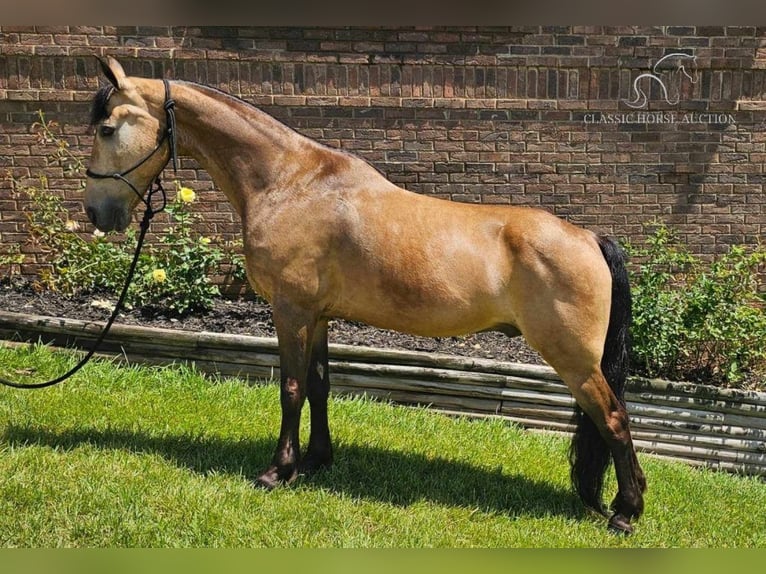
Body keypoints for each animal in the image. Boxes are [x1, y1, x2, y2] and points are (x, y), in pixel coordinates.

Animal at [84, 58, 648, 536]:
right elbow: (318, 386)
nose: (95, 213)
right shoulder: (318, 316)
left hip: (572, 358)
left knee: (614, 418)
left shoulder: (290, 311)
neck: (291, 182)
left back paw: (625, 512)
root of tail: (589, 237)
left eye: (107, 129)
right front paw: (316, 461)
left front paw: (278, 471)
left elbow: (290, 388)